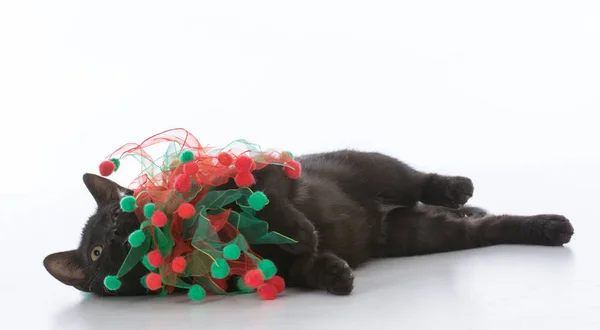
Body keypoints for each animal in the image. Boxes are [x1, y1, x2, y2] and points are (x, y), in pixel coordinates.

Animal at [42, 150, 572, 296]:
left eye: (117, 214)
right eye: (96, 254)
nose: (115, 232)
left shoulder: (258, 173)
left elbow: (265, 204)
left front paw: (303, 233)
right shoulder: (266, 273)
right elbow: (300, 268)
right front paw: (332, 272)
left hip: (373, 166)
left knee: (417, 179)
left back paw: (457, 187)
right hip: (426, 234)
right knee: (489, 227)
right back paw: (548, 228)